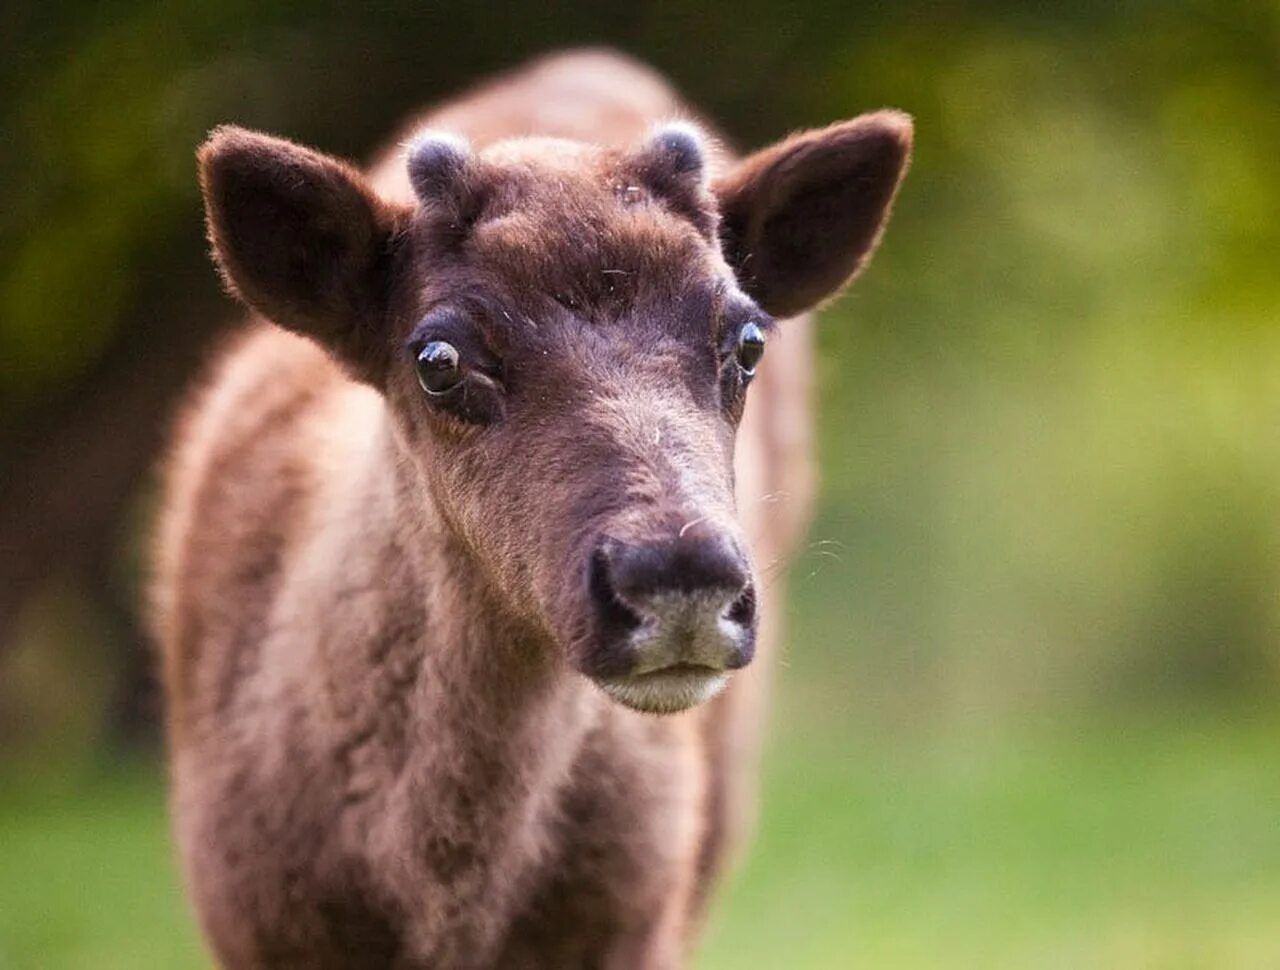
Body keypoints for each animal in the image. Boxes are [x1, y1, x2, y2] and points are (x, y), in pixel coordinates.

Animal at [152, 49, 911, 967]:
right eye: (437, 358)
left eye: (748, 339)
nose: (681, 576)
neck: (441, 903)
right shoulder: (250, 919)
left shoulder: (638, 916)